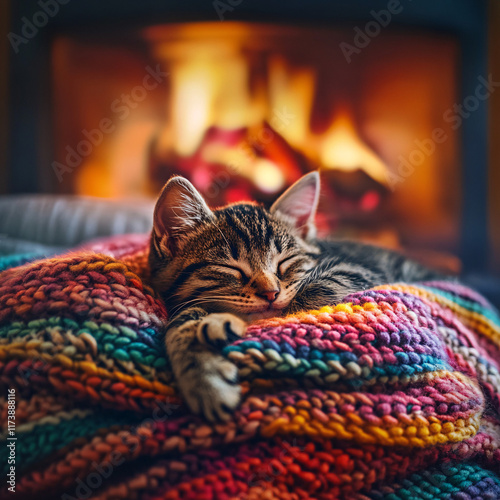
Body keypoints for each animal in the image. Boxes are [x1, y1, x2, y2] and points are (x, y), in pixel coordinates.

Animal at [149, 172, 442, 422]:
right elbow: (181, 321)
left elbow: (293, 307)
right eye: (231, 268)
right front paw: (202, 374)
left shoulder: (357, 271)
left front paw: (224, 323)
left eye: (284, 262)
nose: (270, 292)